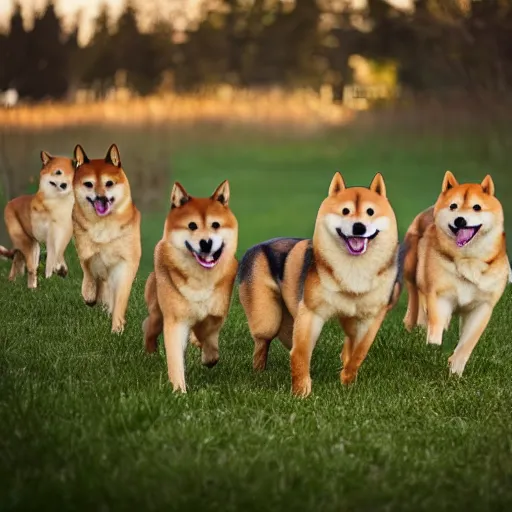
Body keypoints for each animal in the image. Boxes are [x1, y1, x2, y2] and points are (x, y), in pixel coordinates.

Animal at [0, 151, 75, 288]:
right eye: (58, 172)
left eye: (71, 174)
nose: (64, 185)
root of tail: (10, 202)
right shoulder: (49, 235)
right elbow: (51, 257)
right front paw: (52, 274)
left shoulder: (64, 234)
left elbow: (59, 252)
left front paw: (61, 270)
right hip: (27, 243)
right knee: (30, 268)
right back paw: (32, 288)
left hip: (34, 246)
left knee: (19, 261)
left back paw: (14, 281)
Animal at [71, 145, 140, 336]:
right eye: (88, 184)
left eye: (109, 183)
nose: (101, 198)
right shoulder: (86, 252)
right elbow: (88, 271)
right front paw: (89, 294)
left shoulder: (126, 262)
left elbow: (120, 297)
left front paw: (117, 328)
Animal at [142, 182, 238, 394]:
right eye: (192, 225)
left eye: (215, 225)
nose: (206, 242)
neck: (200, 277)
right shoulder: (175, 321)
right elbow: (175, 358)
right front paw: (179, 390)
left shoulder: (217, 311)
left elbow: (208, 332)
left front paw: (208, 356)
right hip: (157, 312)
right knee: (149, 327)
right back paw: (150, 352)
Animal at [238, 174, 402, 398]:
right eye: (345, 211)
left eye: (370, 211)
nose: (359, 227)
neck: (354, 268)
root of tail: (254, 246)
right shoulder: (310, 312)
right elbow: (300, 353)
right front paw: (301, 392)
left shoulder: (370, 317)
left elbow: (359, 352)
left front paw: (347, 382)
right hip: (268, 319)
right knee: (262, 344)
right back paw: (259, 373)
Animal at [404, 172, 508, 376]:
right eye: (453, 206)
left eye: (477, 207)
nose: (460, 220)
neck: (468, 258)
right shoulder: (439, 293)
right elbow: (436, 321)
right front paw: (433, 343)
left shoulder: (483, 305)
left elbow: (468, 343)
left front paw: (456, 370)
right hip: (412, 270)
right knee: (415, 299)